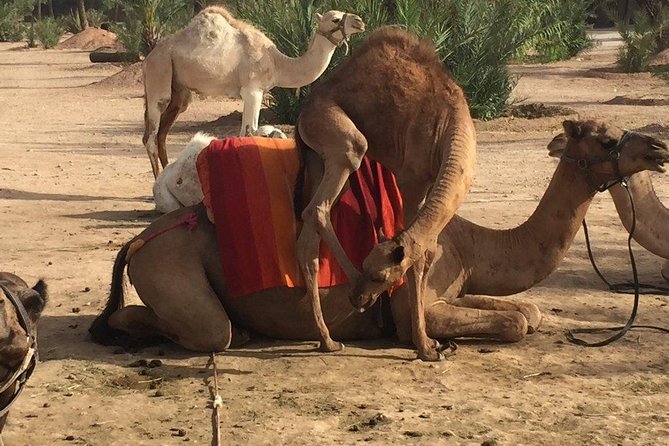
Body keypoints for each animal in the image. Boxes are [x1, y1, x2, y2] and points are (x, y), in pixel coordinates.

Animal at [142, 6, 365, 177]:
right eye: (335, 18)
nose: (360, 21)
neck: (278, 63)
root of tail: (149, 57)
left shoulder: (255, 92)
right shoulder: (252, 90)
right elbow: (248, 132)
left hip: (179, 91)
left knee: (162, 133)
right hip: (159, 72)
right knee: (151, 135)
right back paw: (157, 184)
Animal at [295, 27, 477, 361]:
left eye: (380, 277)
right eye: (370, 268)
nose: (358, 299)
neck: (450, 127)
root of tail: (304, 111)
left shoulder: (433, 184)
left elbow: (428, 252)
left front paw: (430, 342)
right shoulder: (412, 181)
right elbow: (417, 255)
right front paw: (424, 346)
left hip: (317, 158)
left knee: (308, 233)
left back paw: (327, 340)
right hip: (341, 139)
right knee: (321, 204)